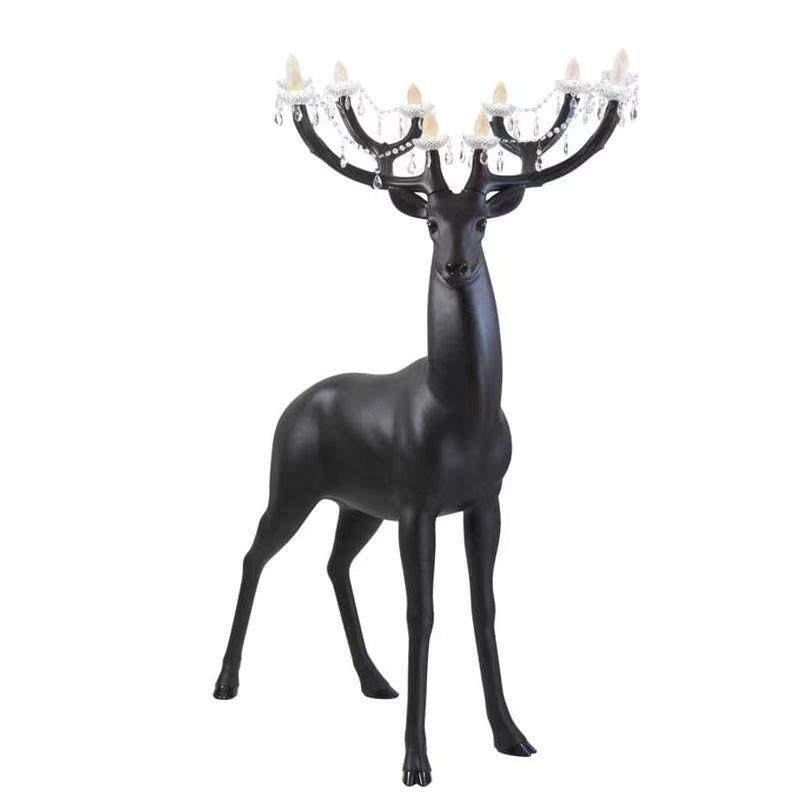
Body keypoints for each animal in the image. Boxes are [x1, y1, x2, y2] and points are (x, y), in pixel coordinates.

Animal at [214, 53, 633, 787]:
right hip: (291, 485)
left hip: (357, 506)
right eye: (431, 222)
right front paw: (416, 761)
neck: (460, 413)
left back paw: (374, 680)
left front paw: (512, 735)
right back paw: (226, 681)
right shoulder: (416, 504)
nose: (456, 265)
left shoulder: (485, 498)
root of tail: (295, 403)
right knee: (253, 553)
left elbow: (482, 607)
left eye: (483, 221)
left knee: (333, 564)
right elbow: (422, 612)